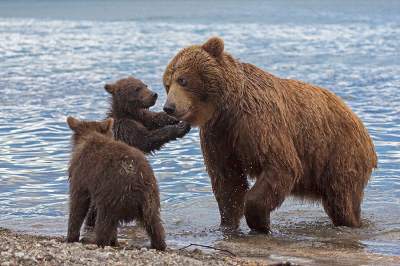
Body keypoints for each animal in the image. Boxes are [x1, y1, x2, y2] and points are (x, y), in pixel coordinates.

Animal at [162, 36, 378, 232]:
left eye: (182, 80)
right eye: (167, 84)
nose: (169, 107)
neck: (228, 107)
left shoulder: (258, 123)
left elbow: (281, 165)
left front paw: (259, 222)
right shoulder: (218, 135)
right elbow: (228, 180)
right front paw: (228, 225)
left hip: (339, 152)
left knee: (342, 200)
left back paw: (352, 223)